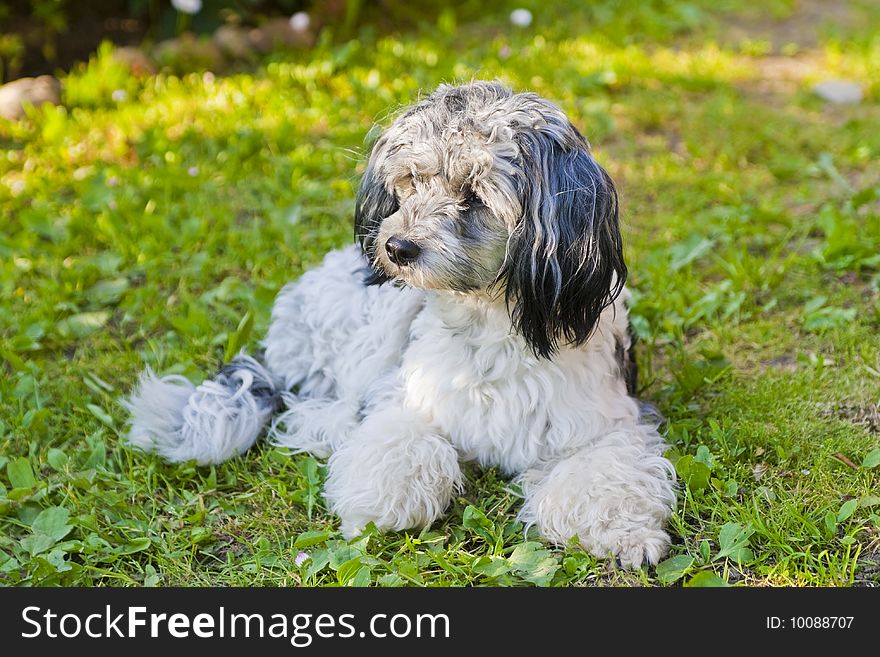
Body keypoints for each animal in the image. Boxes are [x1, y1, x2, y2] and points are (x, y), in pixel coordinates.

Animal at [124, 79, 672, 568]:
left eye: (475, 195)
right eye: (411, 180)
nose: (395, 247)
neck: (487, 327)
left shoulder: (608, 424)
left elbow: (602, 475)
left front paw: (625, 534)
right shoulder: (407, 396)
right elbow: (402, 440)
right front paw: (378, 506)